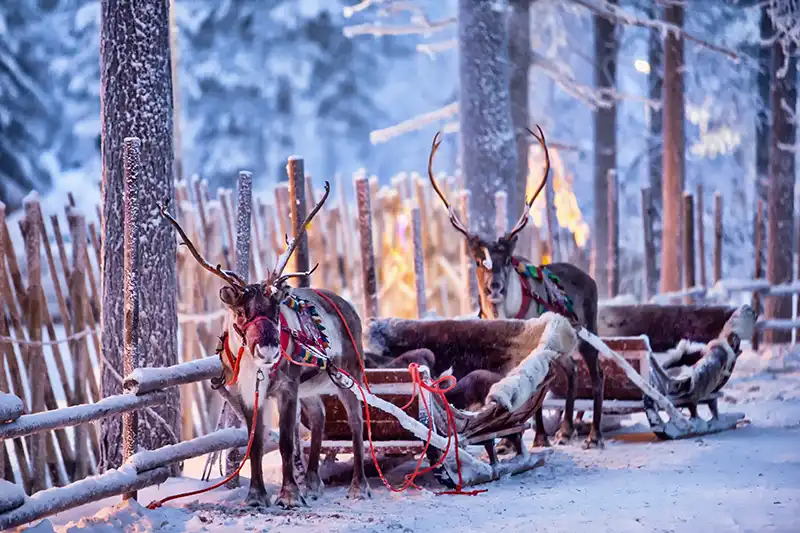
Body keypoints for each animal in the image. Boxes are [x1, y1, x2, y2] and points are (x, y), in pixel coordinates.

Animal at [160, 181, 371, 509]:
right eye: (240, 312)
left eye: (275, 309)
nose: (269, 351)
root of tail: (347, 306)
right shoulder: (247, 393)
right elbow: (255, 444)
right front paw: (256, 495)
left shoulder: (287, 388)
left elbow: (285, 442)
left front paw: (289, 495)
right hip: (310, 387)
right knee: (320, 415)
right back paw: (313, 482)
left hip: (348, 375)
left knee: (356, 421)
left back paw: (358, 486)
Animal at [426, 126, 605, 449]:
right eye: (477, 260)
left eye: (507, 259)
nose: (494, 287)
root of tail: (589, 278)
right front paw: (510, 441)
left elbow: (533, 395)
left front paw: (537, 438)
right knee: (572, 372)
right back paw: (565, 429)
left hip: (588, 333)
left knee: (597, 375)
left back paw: (593, 434)